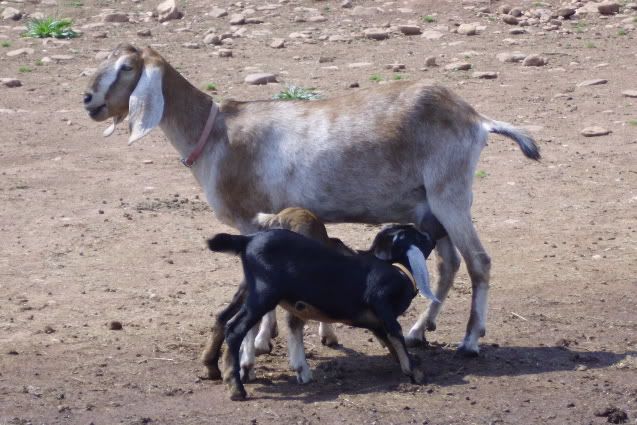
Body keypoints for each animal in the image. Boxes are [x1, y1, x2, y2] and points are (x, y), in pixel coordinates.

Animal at [83, 44, 540, 358]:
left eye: (127, 68)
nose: (89, 100)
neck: (217, 136)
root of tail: (476, 118)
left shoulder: (251, 219)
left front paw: (260, 342)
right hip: (431, 209)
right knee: (449, 265)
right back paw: (417, 332)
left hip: (451, 195)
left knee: (479, 262)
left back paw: (469, 341)